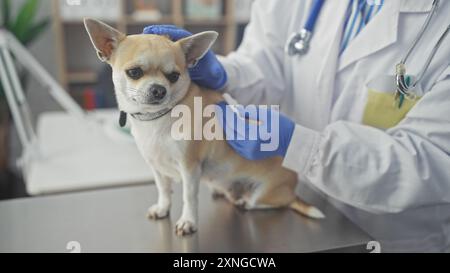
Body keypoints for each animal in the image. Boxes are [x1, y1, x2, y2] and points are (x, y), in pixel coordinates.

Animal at [84, 19, 324, 236]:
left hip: (266, 193)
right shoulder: (157, 166)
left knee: (272, 203)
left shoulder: (190, 167)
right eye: (134, 72)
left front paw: (188, 222)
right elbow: (163, 189)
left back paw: (246, 202)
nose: (159, 89)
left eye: (174, 76)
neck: (159, 118)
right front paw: (163, 208)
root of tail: (293, 189)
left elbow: (189, 197)